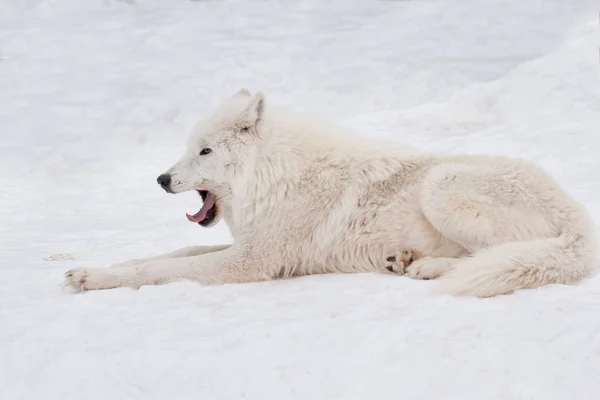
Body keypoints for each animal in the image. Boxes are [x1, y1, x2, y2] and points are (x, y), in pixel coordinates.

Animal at [64, 90, 596, 296]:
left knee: (489, 257)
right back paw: (403, 260)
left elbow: (158, 270)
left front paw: (95, 280)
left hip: (440, 186)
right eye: (188, 149)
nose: (161, 179)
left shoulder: (251, 262)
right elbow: (167, 253)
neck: (273, 177)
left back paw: (424, 268)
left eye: (206, 151)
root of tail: (580, 220)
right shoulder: (245, 244)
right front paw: (91, 269)